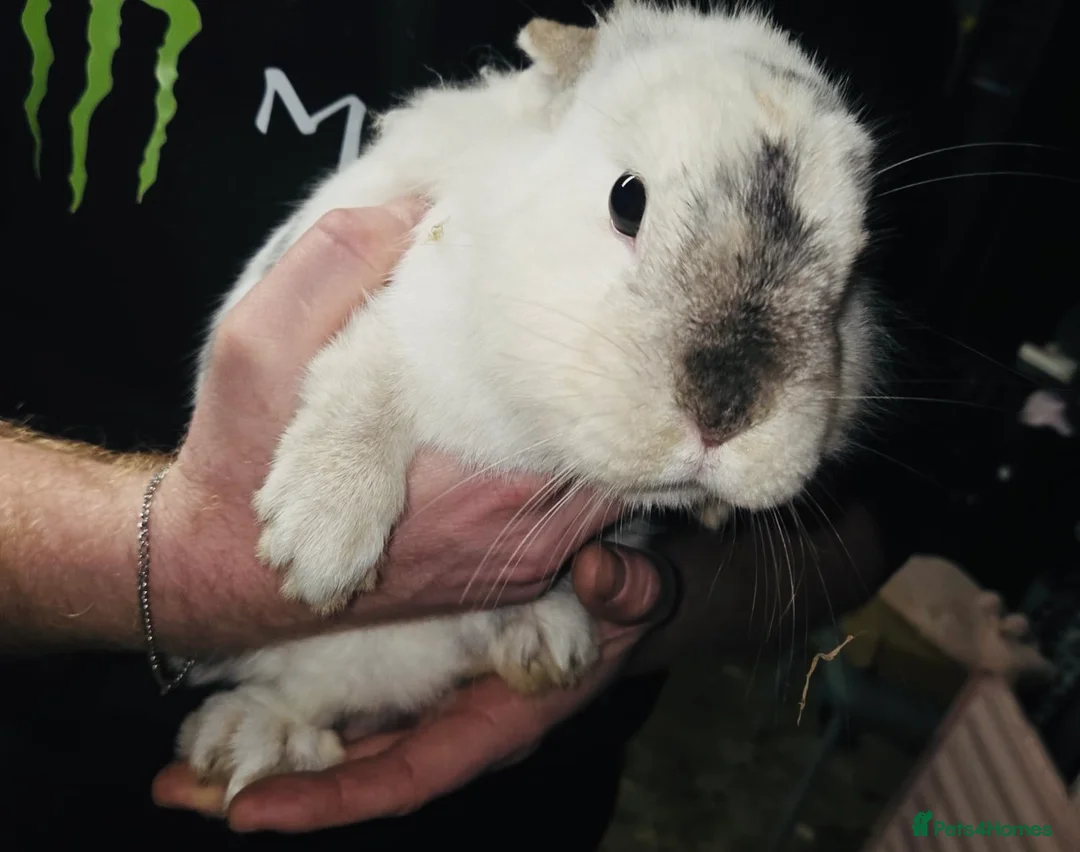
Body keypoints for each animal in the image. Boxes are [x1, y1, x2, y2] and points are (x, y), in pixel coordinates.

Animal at [177, 0, 882, 805]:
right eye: (627, 199)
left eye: (857, 266)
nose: (723, 414)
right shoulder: (402, 316)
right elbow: (363, 375)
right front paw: (321, 548)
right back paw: (249, 739)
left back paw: (544, 638)